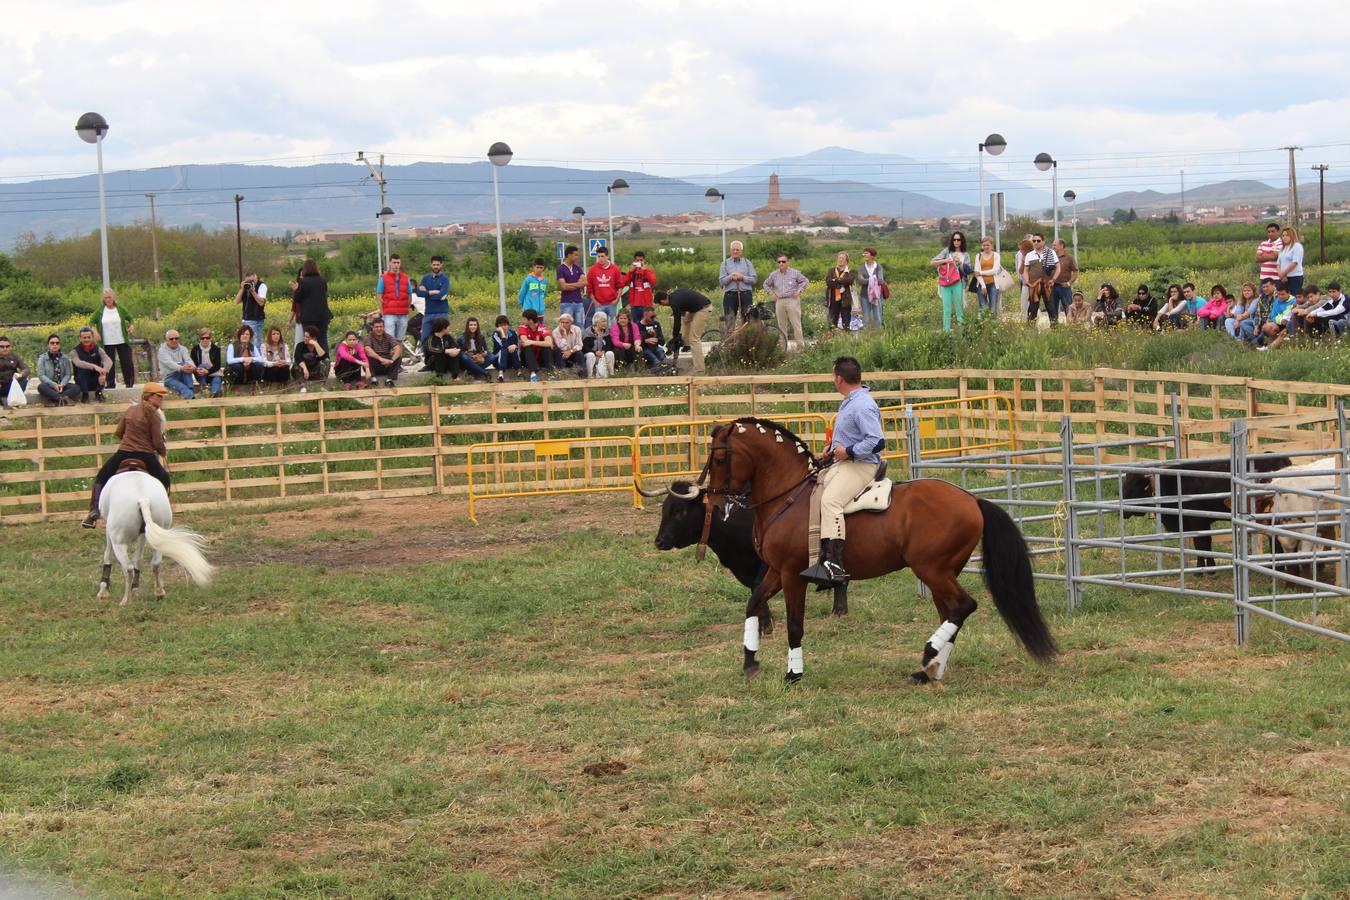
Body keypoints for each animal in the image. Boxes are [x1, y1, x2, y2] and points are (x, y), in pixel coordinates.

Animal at [97, 472, 214, 604]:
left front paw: (103, 591)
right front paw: (135, 589)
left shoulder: (109, 533)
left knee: (128, 568)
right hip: (157, 538)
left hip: (119, 543)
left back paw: (125, 601)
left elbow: (108, 556)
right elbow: (138, 559)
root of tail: (143, 500)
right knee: (156, 563)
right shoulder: (143, 535)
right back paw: (159, 592)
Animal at [653, 477, 842, 626]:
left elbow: (758, 585)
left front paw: (766, 622)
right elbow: (755, 588)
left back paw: (839, 610)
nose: (659, 541)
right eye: (664, 509)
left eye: (679, 510)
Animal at [702, 418, 1058, 685]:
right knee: (951, 611)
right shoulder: (776, 571)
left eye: (719, 459)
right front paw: (750, 663)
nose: (715, 503)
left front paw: (793, 673)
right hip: (943, 571)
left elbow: (794, 624)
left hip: (932, 569)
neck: (789, 496)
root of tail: (972, 499)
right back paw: (930, 669)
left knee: (964, 606)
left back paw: (929, 656)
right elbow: (753, 603)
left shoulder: (792, 574)